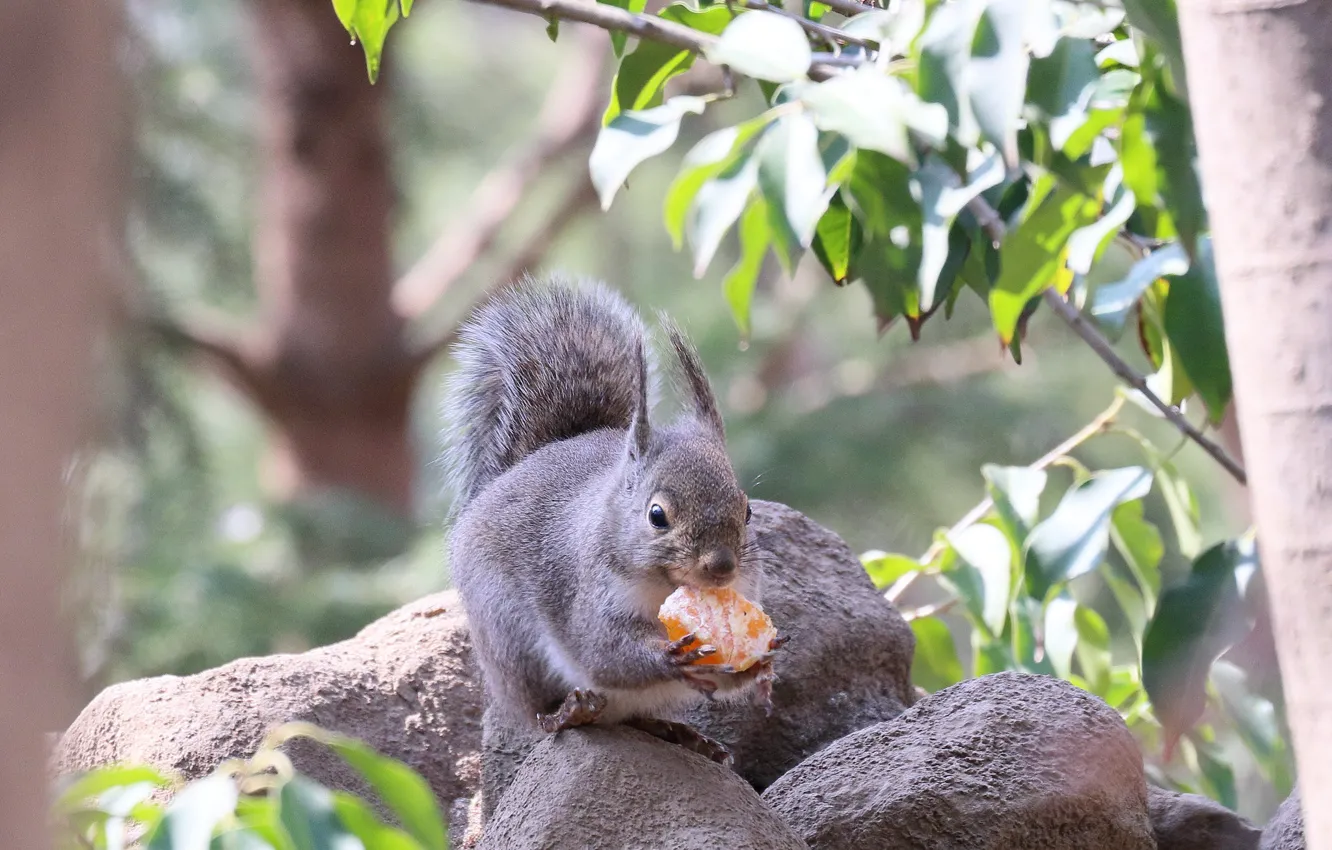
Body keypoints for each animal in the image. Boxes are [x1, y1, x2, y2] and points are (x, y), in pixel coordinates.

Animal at [442, 277, 783, 767]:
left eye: (748, 510)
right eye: (656, 515)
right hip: (513, 641)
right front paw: (666, 658)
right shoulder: (591, 593)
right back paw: (568, 713)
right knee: (546, 711)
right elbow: (604, 651)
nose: (721, 568)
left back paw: (680, 734)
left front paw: (761, 665)